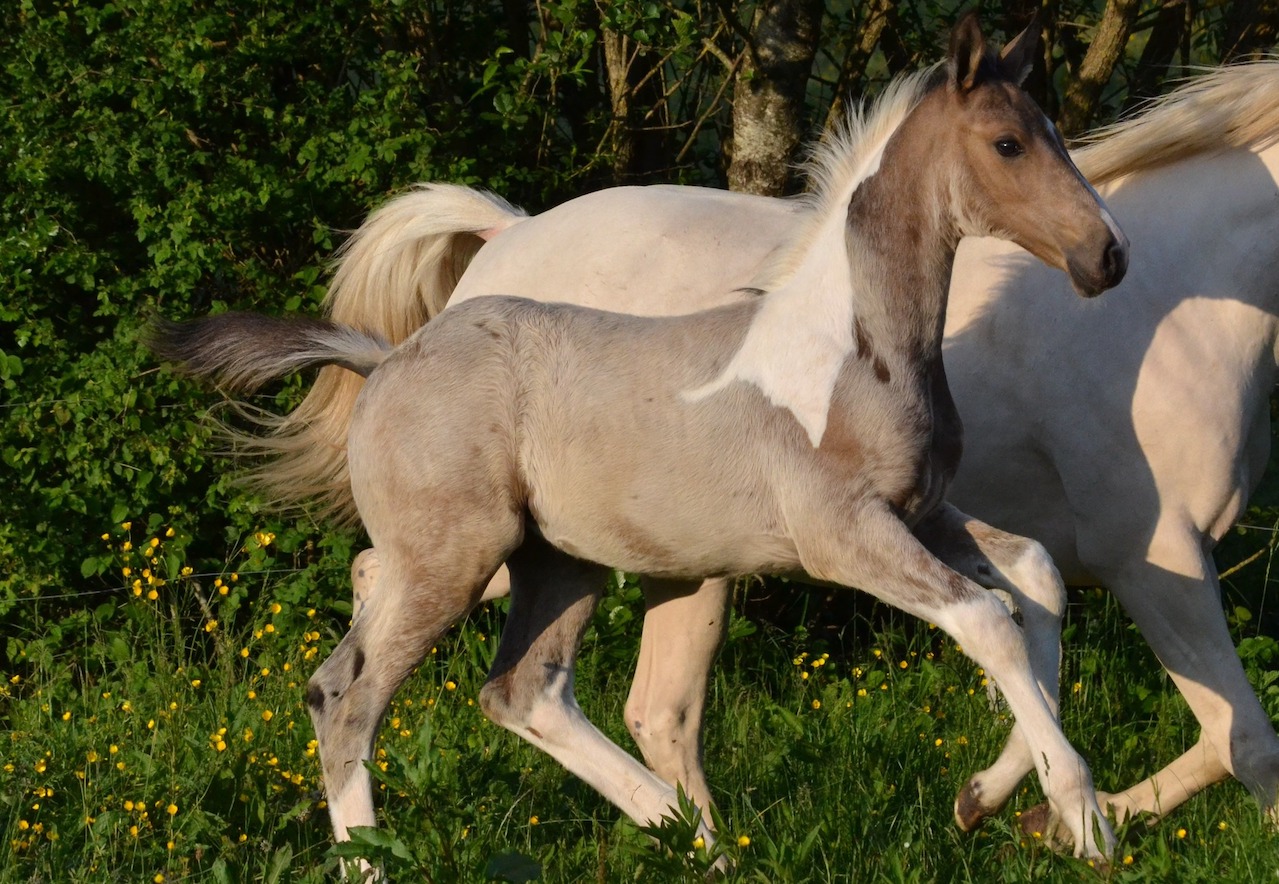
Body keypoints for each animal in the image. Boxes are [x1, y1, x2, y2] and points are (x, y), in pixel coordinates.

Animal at [154, 15, 1125, 864]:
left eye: (1052, 132)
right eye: (1007, 143)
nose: (1105, 256)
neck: (848, 351)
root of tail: (388, 357)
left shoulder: (922, 514)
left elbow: (1035, 578)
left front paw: (988, 797)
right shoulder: (841, 536)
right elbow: (988, 620)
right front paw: (1083, 821)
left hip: (557, 561)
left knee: (511, 690)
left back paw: (696, 841)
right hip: (455, 558)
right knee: (356, 704)